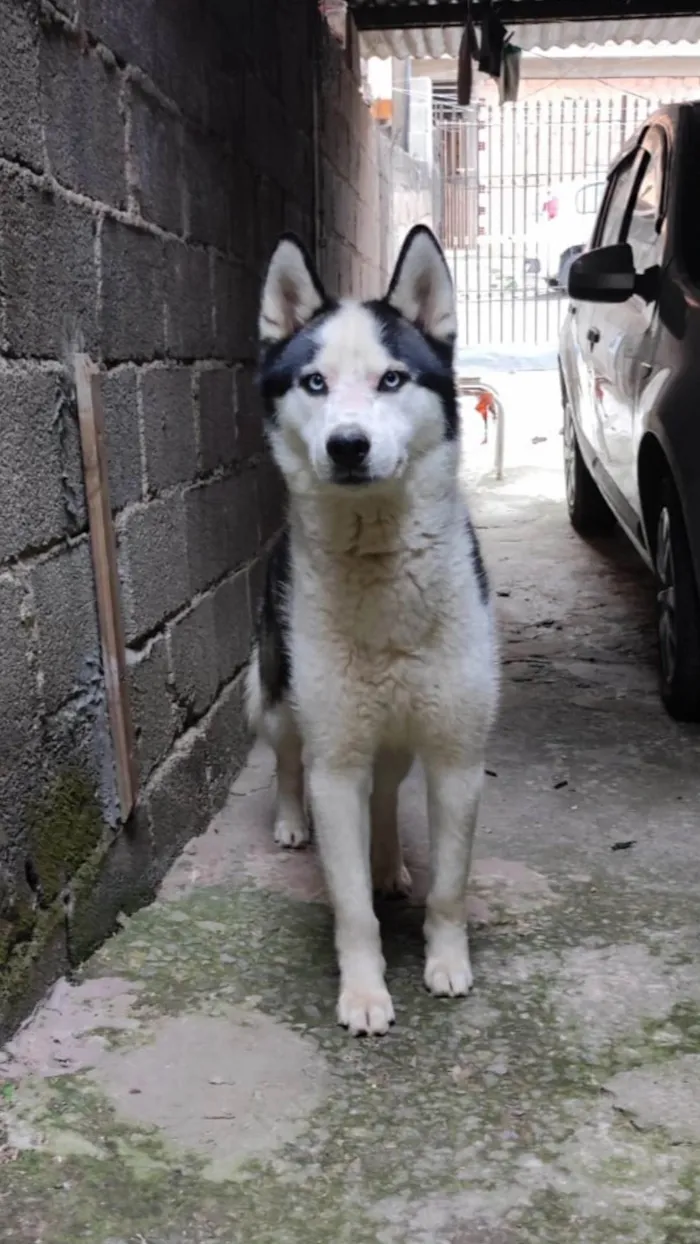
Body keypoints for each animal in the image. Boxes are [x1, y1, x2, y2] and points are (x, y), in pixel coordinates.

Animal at [246, 226, 497, 1039]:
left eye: (392, 379)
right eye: (313, 384)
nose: (348, 446)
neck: (381, 561)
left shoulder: (456, 755)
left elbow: (449, 886)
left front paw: (445, 963)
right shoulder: (337, 763)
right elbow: (350, 905)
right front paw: (362, 993)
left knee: (386, 793)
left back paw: (389, 861)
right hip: (281, 693)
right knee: (286, 756)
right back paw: (291, 824)